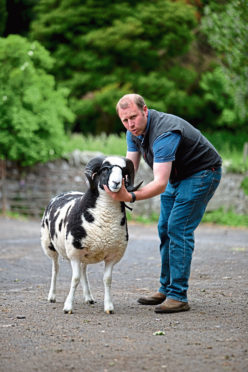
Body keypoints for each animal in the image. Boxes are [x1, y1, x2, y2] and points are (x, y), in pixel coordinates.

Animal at [40, 155, 141, 314]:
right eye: (105, 169)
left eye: (123, 171)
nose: (116, 183)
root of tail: (64, 193)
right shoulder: (74, 252)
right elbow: (74, 278)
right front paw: (68, 307)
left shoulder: (112, 255)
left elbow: (107, 279)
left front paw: (109, 307)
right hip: (50, 245)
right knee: (55, 269)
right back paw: (52, 296)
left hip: (85, 253)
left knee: (83, 271)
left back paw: (88, 297)